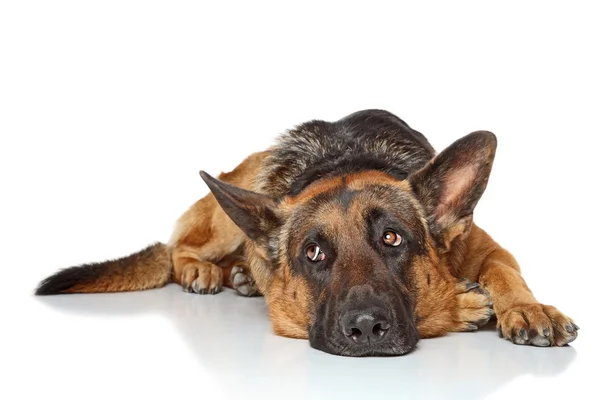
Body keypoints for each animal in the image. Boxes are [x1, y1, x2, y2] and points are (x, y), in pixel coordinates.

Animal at [36, 109, 576, 356]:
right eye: (314, 252)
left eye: (393, 239)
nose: (365, 329)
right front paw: (460, 305)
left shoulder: (487, 247)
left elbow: (505, 270)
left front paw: (529, 308)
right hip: (230, 210)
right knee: (177, 247)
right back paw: (202, 271)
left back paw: (240, 277)